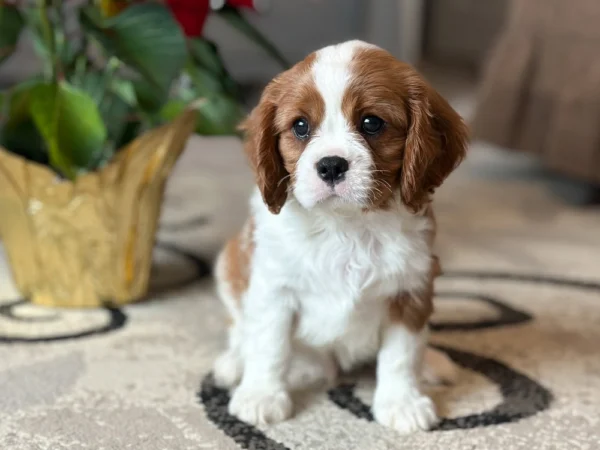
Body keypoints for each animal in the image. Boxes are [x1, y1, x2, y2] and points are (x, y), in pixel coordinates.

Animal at [212, 40, 468, 434]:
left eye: (371, 123)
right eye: (301, 126)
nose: (331, 165)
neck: (345, 227)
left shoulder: (411, 289)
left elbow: (401, 354)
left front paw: (402, 402)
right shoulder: (274, 288)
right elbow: (269, 345)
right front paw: (261, 396)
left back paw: (432, 362)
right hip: (228, 265)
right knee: (241, 329)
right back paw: (234, 363)